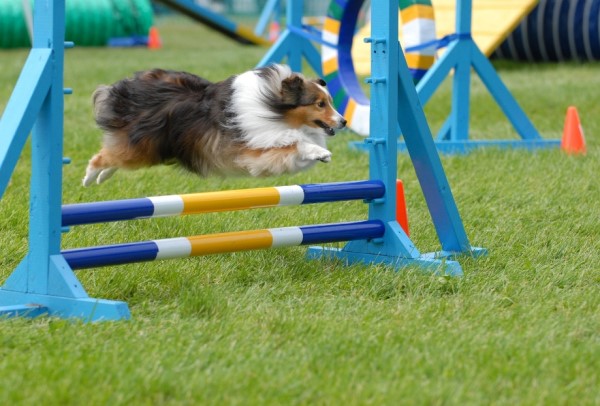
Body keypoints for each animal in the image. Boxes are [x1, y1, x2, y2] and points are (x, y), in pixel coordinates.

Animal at [82, 64, 346, 186]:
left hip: (146, 150)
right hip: (142, 147)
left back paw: (102, 177)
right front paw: (319, 151)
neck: (273, 108)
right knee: (102, 157)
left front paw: (319, 153)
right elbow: (295, 143)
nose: (343, 121)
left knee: (115, 157)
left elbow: (295, 147)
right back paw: (89, 178)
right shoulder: (254, 148)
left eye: (330, 102)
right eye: (320, 104)